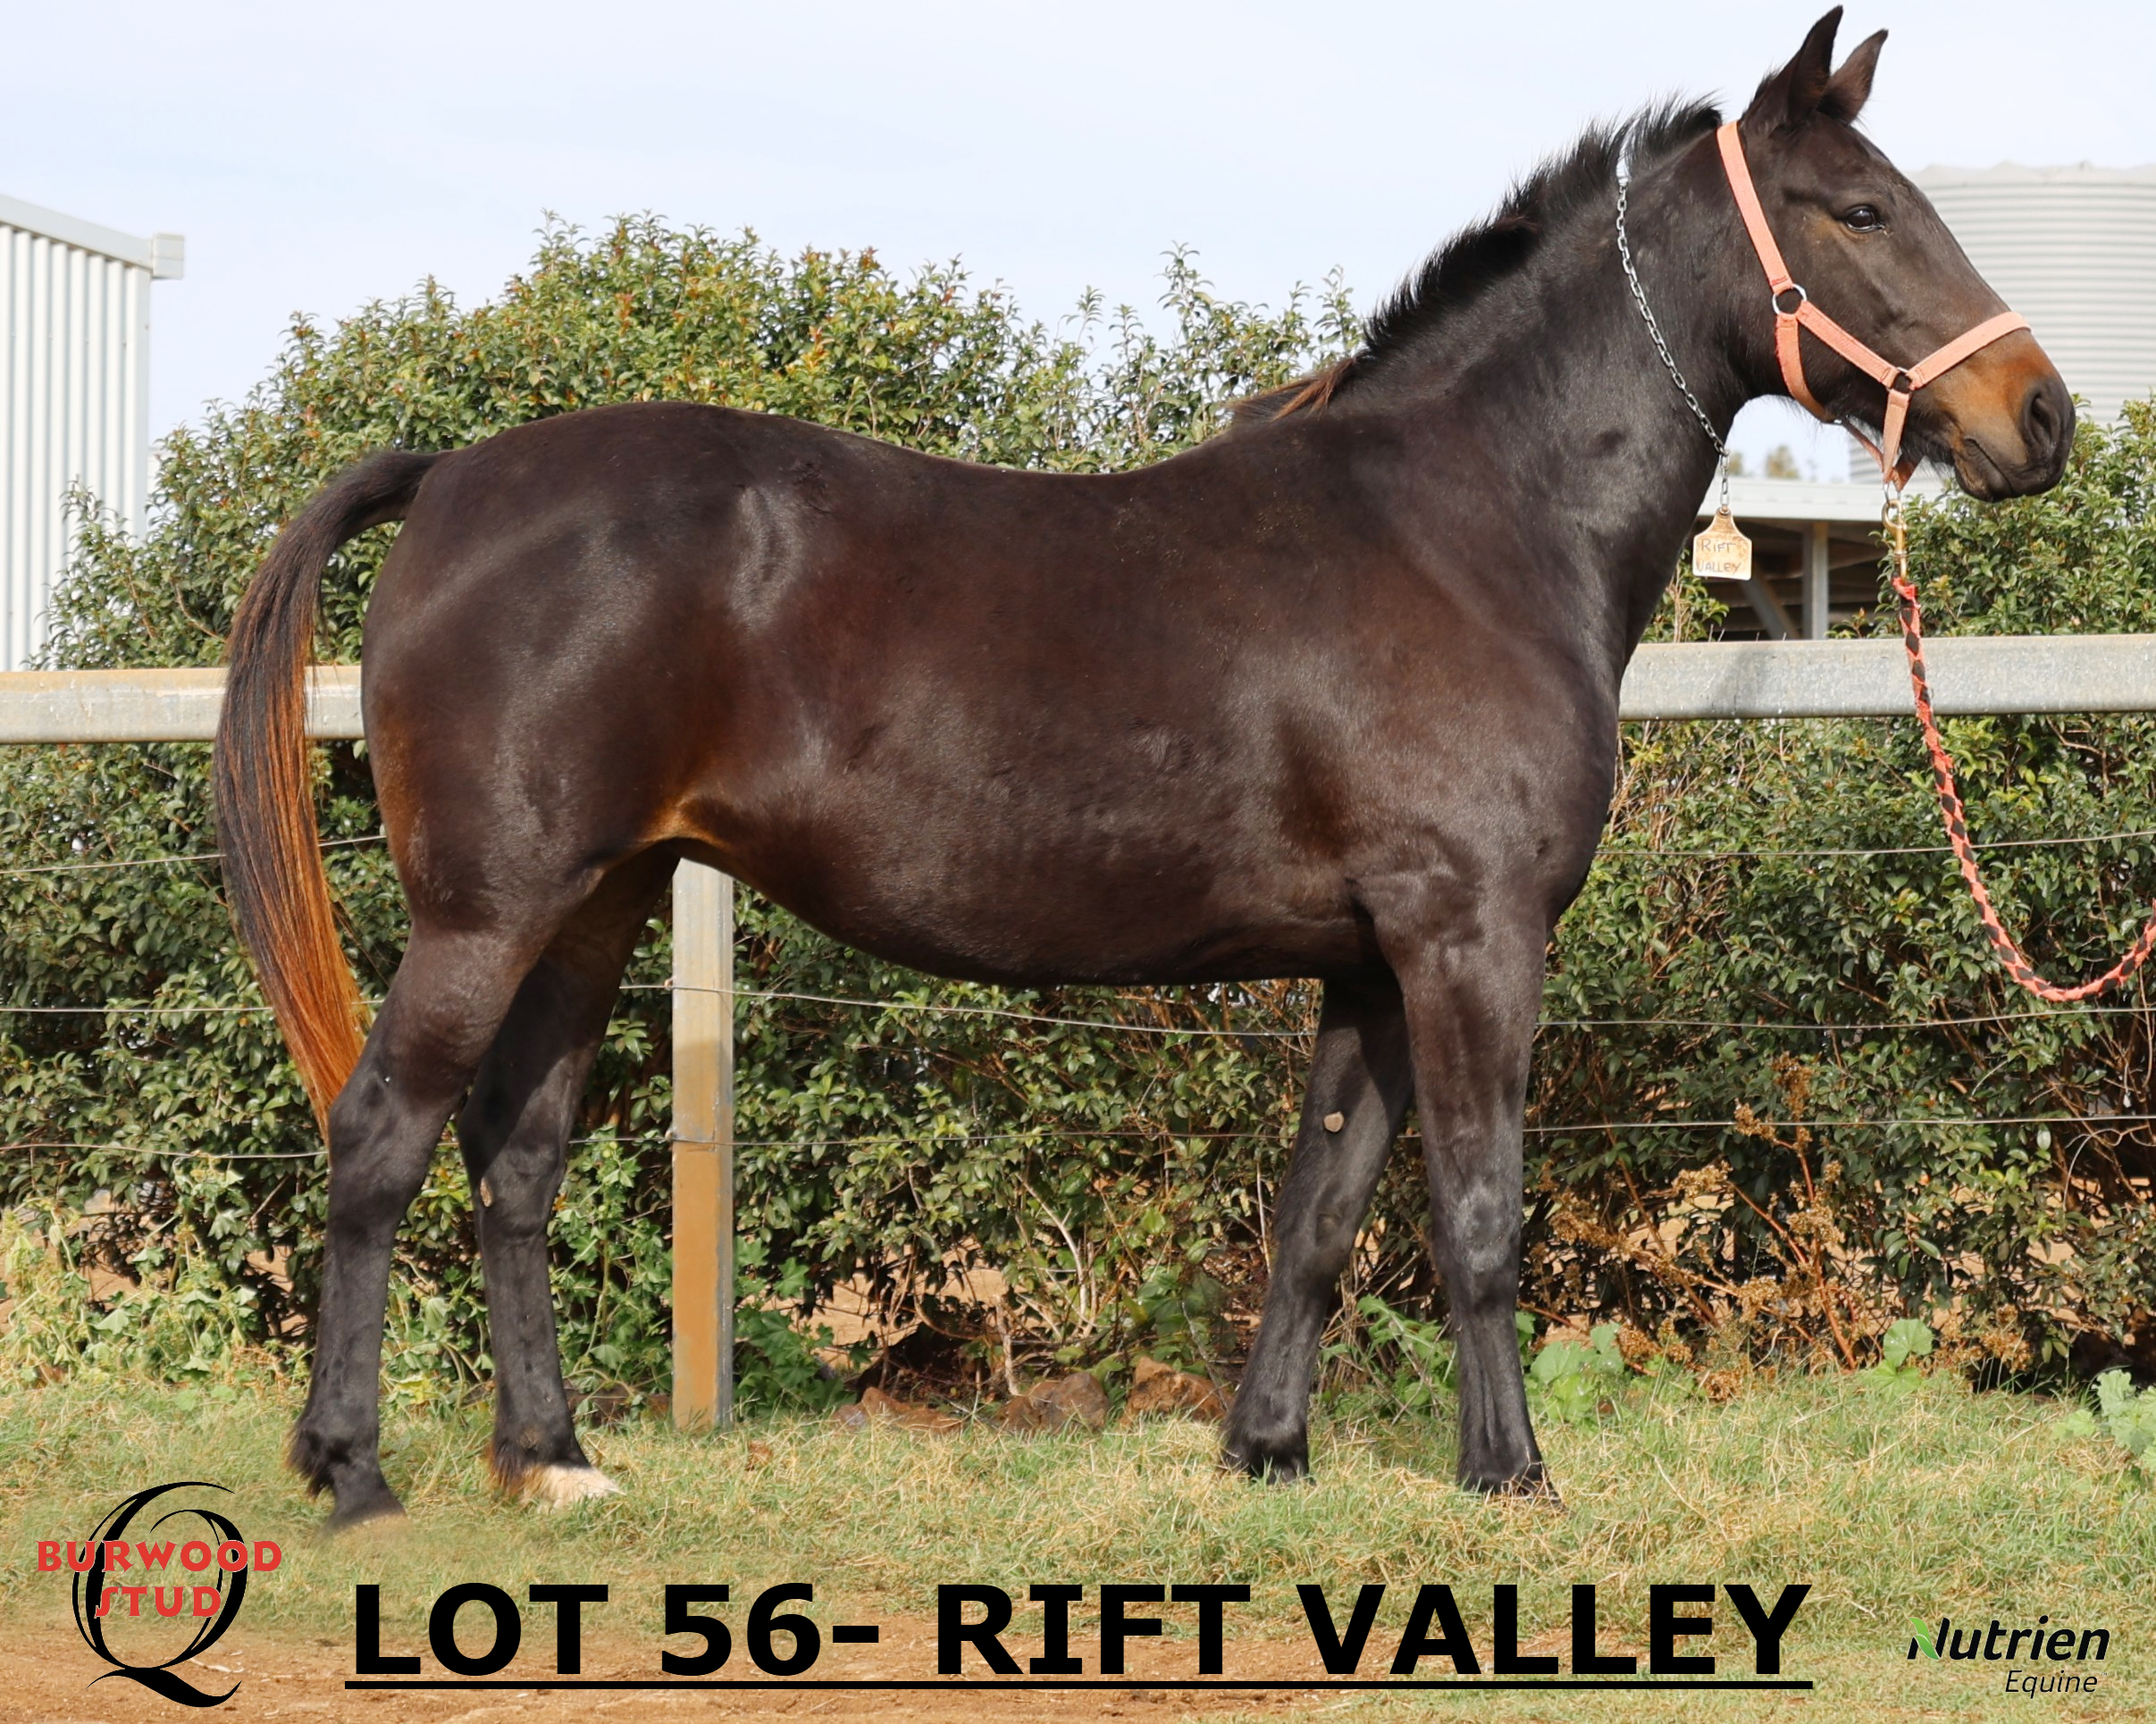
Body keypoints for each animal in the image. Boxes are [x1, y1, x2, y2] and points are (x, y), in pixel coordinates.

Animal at [214, 8, 2071, 1525]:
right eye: (1855, 210)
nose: (2036, 418)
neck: (1469, 522)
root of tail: (454, 476)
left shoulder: (1369, 967)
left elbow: (1319, 1215)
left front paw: (1268, 1454)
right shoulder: (1468, 940)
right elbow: (1474, 1212)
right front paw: (1510, 1474)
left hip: (597, 905)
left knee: (513, 1162)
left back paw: (553, 1460)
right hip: (488, 912)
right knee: (381, 1137)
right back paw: (354, 1471)